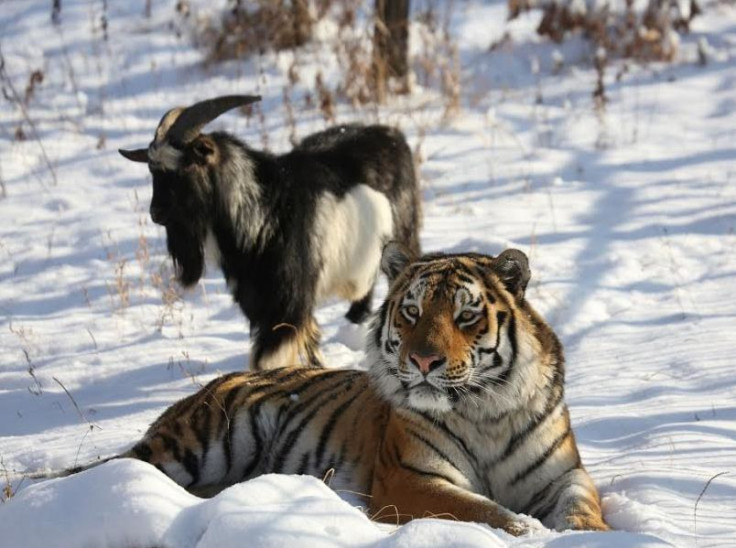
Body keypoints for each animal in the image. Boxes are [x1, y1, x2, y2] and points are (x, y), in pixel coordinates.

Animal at [60, 243, 608, 536]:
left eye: (465, 315)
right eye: (412, 312)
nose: (423, 361)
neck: (485, 411)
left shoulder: (563, 474)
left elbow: (582, 508)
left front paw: (591, 536)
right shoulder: (409, 479)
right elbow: (485, 511)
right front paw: (529, 532)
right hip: (201, 443)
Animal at [120, 96, 420, 372]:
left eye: (186, 166)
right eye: (153, 170)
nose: (155, 212)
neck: (264, 212)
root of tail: (391, 135)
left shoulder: (288, 301)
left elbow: (268, 358)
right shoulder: (261, 303)